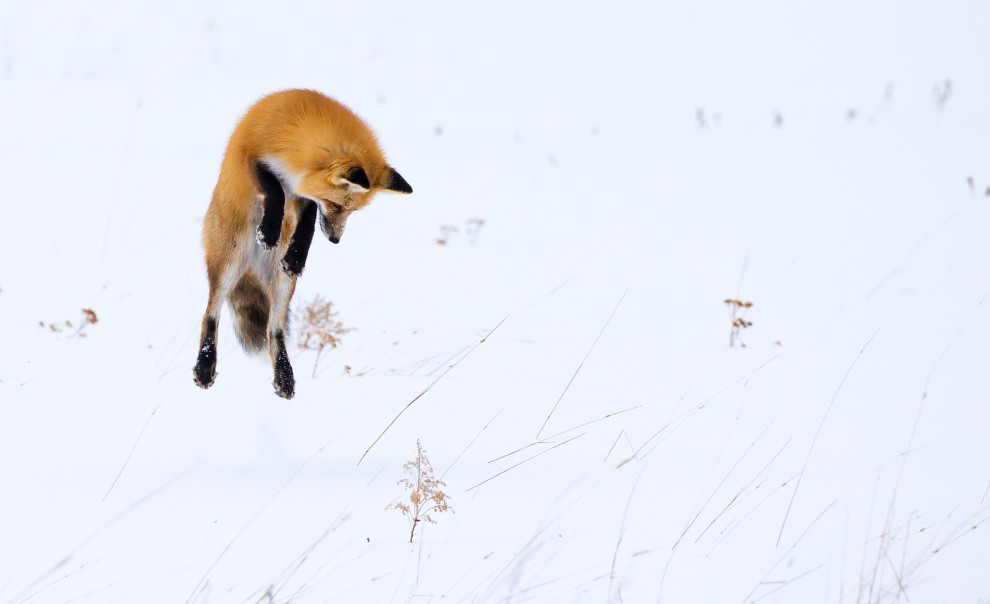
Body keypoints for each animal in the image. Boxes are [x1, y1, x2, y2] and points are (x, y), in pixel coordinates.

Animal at [193, 89, 412, 399]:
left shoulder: (303, 193)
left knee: (274, 330)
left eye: (353, 211)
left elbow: (306, 222)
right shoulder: (252, 155)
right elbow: (274, 190)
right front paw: (269, 231)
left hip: (283, 285)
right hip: (229, 261)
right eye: (337, 204)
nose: (335, 240)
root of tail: (251, 263)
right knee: (210, 314)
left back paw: (284, 376)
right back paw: (205, 367)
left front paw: (295, 256)